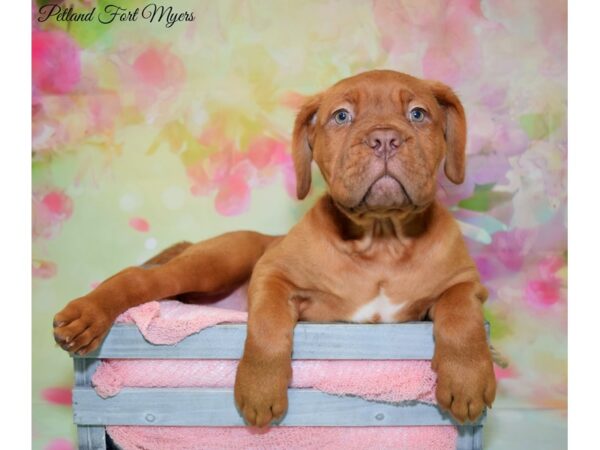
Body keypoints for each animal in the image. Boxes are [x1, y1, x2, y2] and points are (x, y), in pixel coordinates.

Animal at [54, 69, 496, 426]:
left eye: (418, 114)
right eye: (342, 116)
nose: (383, 138)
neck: (381, 240)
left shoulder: (465, 282)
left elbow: (461, 316)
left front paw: (468, 380)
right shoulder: (272, 273)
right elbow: (267, 324)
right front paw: (260, 388)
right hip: (220, 260)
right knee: (142, 278)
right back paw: (87, 314)